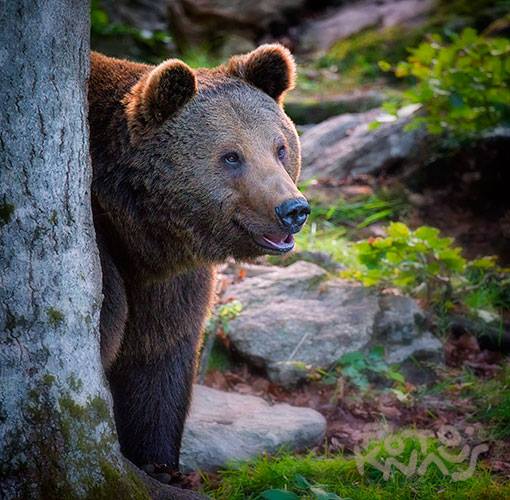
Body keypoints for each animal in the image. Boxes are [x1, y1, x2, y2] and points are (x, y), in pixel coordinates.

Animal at [88, 45, 308, 470]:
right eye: (231, 156)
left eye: (280, 147)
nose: (292, 209)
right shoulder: (106, 260)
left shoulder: (165, 281)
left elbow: (158, 356)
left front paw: (154, 460)